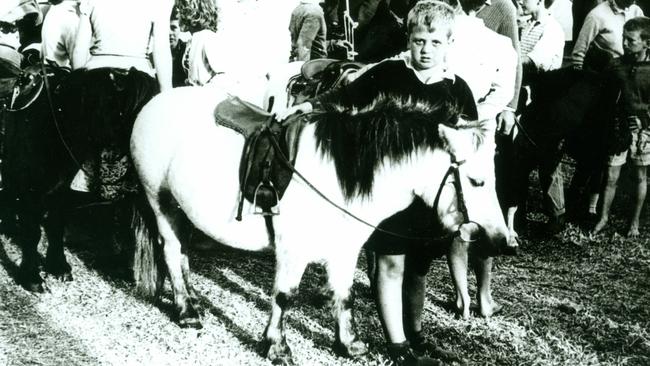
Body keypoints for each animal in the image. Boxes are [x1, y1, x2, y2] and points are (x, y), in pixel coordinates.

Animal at [129, 78, 508, 362]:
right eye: (477, 181)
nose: (504, 240)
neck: (342, 175)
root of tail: (154, 103)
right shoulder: (292, 249)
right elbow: (285, 296)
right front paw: (277, 347)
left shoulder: (345, 249)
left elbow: (345, 295)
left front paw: (349, 344)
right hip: (161, 202)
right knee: (171, 251)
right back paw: (186, 310)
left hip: (182, 209)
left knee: (182, 253)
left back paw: (192, 299)